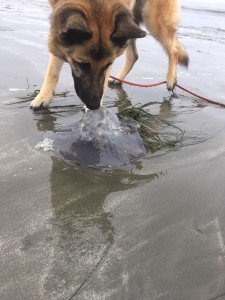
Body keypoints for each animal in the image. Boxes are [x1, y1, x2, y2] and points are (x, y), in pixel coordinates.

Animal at [29, 0, 188, 110]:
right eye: (81, 64)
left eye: (108, 64)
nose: (93, 105)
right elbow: (52, 71)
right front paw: (43, 97)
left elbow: (103, 80)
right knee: (133, 56)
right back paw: (119, 78)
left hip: (152, 17)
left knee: (173, 48)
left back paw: (171, 79)